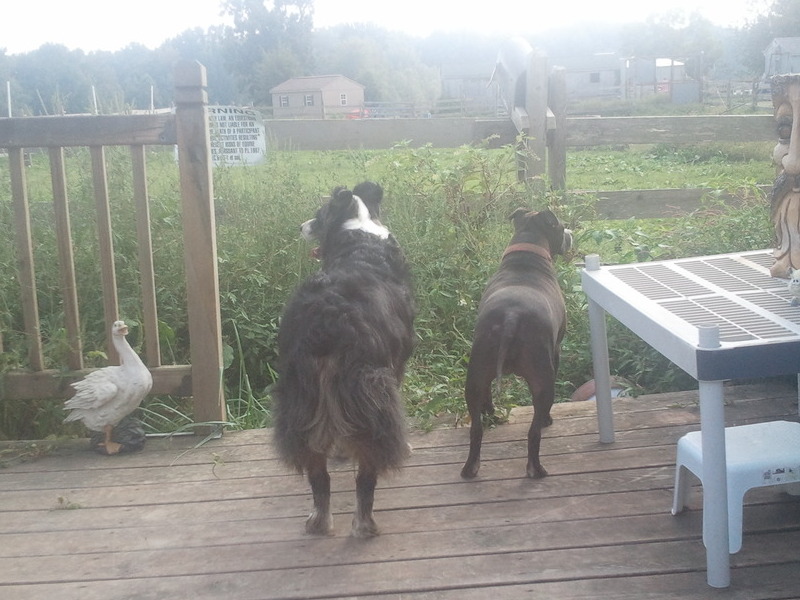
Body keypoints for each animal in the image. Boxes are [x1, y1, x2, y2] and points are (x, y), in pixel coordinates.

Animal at [274, 180, 416, 536]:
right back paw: (364, 525)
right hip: (371, 389)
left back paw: (319, 520)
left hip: (301, 394)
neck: (359, 230)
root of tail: (329, 317)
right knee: (366, 473)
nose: (300, 227)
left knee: (317, 474)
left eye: (318, 214)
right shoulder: (396, 367)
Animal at [460, 209, 572, 480]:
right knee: (534, 431)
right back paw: (536, 468)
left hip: (475, 376)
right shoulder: (556, 349)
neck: (527, 254)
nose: (570, 232)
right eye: (560, 226)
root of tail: (511, 317)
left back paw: (470, 467)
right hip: (543, 380)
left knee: (476, 429)